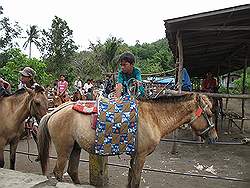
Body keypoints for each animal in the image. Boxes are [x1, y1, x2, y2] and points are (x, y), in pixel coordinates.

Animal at [38, 93, 218, 187]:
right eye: (209, 114)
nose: (214, 138)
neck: (153, 117)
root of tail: (54, 112)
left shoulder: (134, 156)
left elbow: (131, 179)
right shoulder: (141, 156)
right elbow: (136, 180)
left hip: (75, 147)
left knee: (72, 171)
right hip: (64, 149)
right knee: (59, 172)